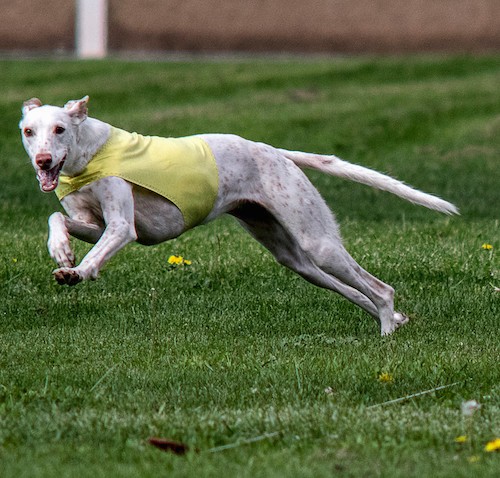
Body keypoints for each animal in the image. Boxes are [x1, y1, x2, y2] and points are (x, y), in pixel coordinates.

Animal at [19, 96, 458, 336]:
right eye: (28, 131)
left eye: (59, 129)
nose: (43, 162)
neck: (89, 154)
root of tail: (277, 152)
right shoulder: (93, 224)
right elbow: (58, 219)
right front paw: (61, 252)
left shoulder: (123, 229)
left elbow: (103, 248)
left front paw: (79, 271)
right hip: (294, 257)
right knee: (354, 291)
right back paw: (395, 322)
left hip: (317, 242)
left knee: (379, 289)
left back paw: (386, 332)